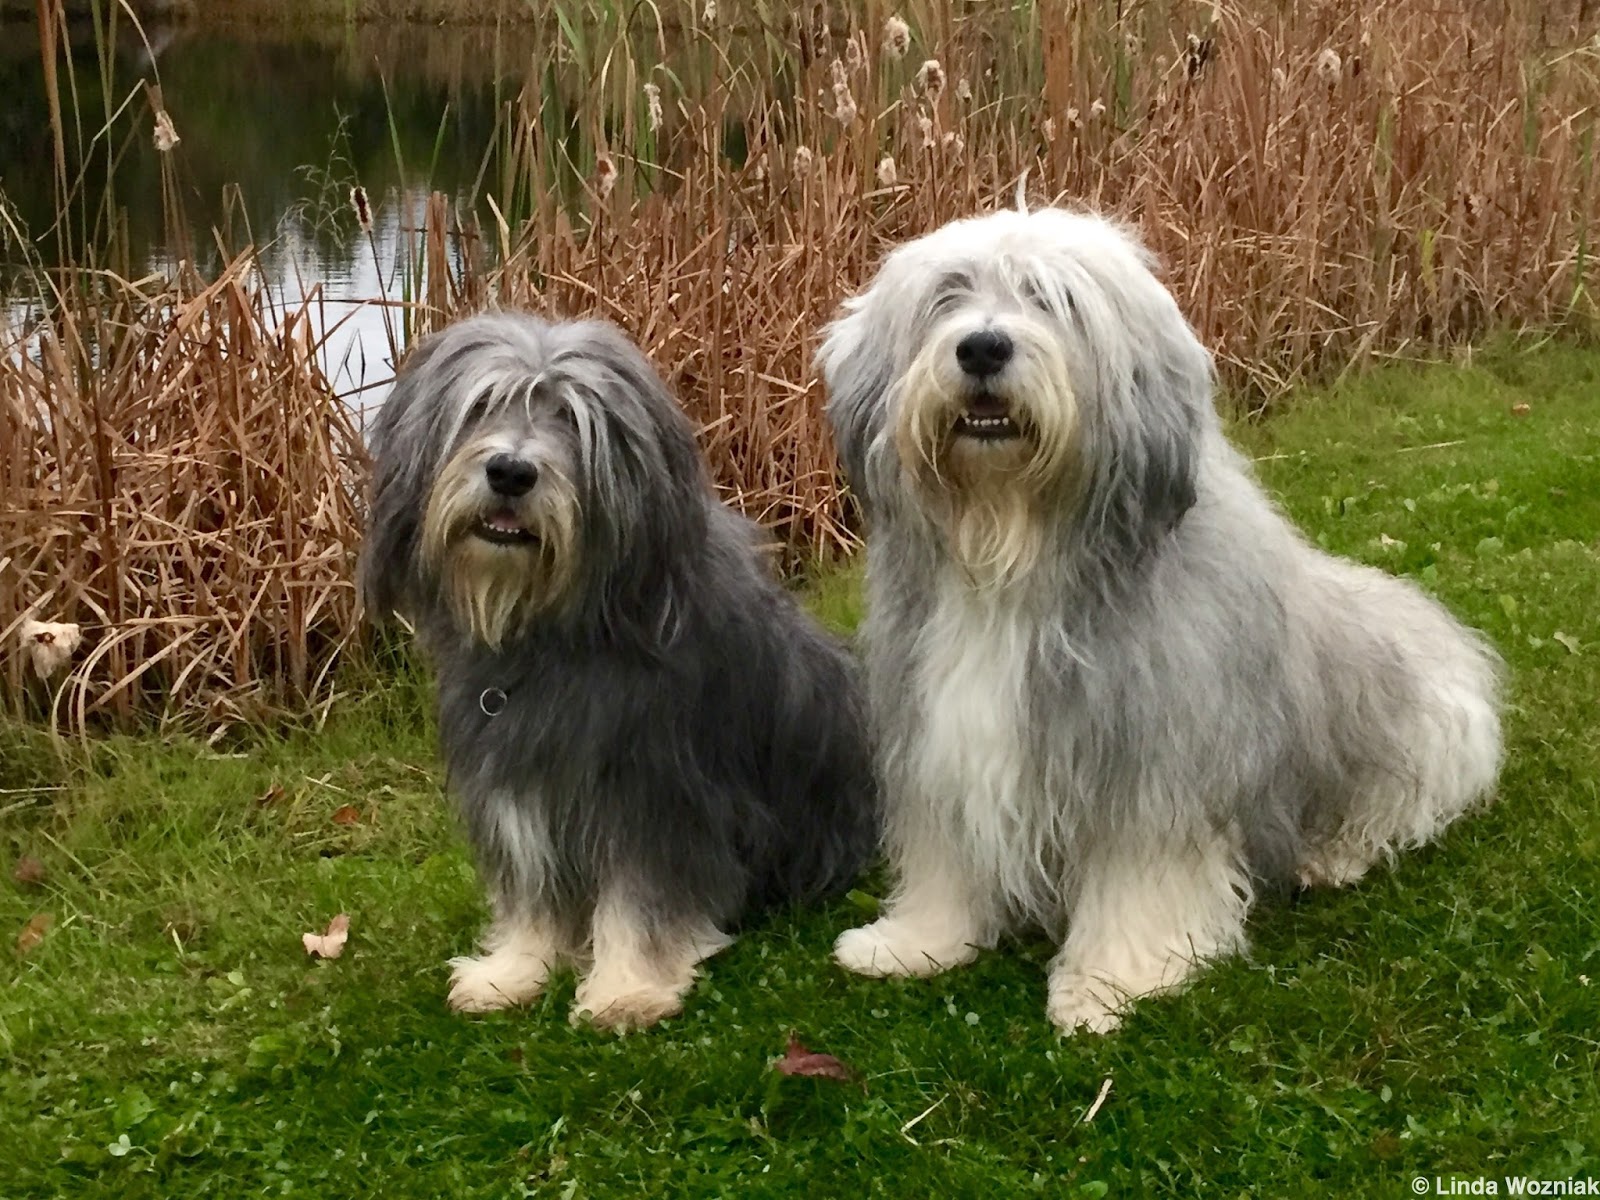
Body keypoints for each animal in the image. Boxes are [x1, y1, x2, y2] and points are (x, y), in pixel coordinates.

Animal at [361, 313, 876, 1031]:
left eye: (573, 419)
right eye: (482, 406)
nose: (510, 471)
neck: (553, 636)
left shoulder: (657, 794)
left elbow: (641, 897)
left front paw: (628, 990)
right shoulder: (519, 789)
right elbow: (532, 893)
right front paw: (511, 971)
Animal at [819, 207, 1502, 1033]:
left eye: (1053, 300)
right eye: (949, 294)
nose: (982, 346)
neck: (1014, 551)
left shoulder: (1156, 766)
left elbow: (1140, 878)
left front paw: (1110, 980)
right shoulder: (938, 743)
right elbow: (946, 855)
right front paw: (914, 941)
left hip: (1422, 736)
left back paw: (1330, 857)